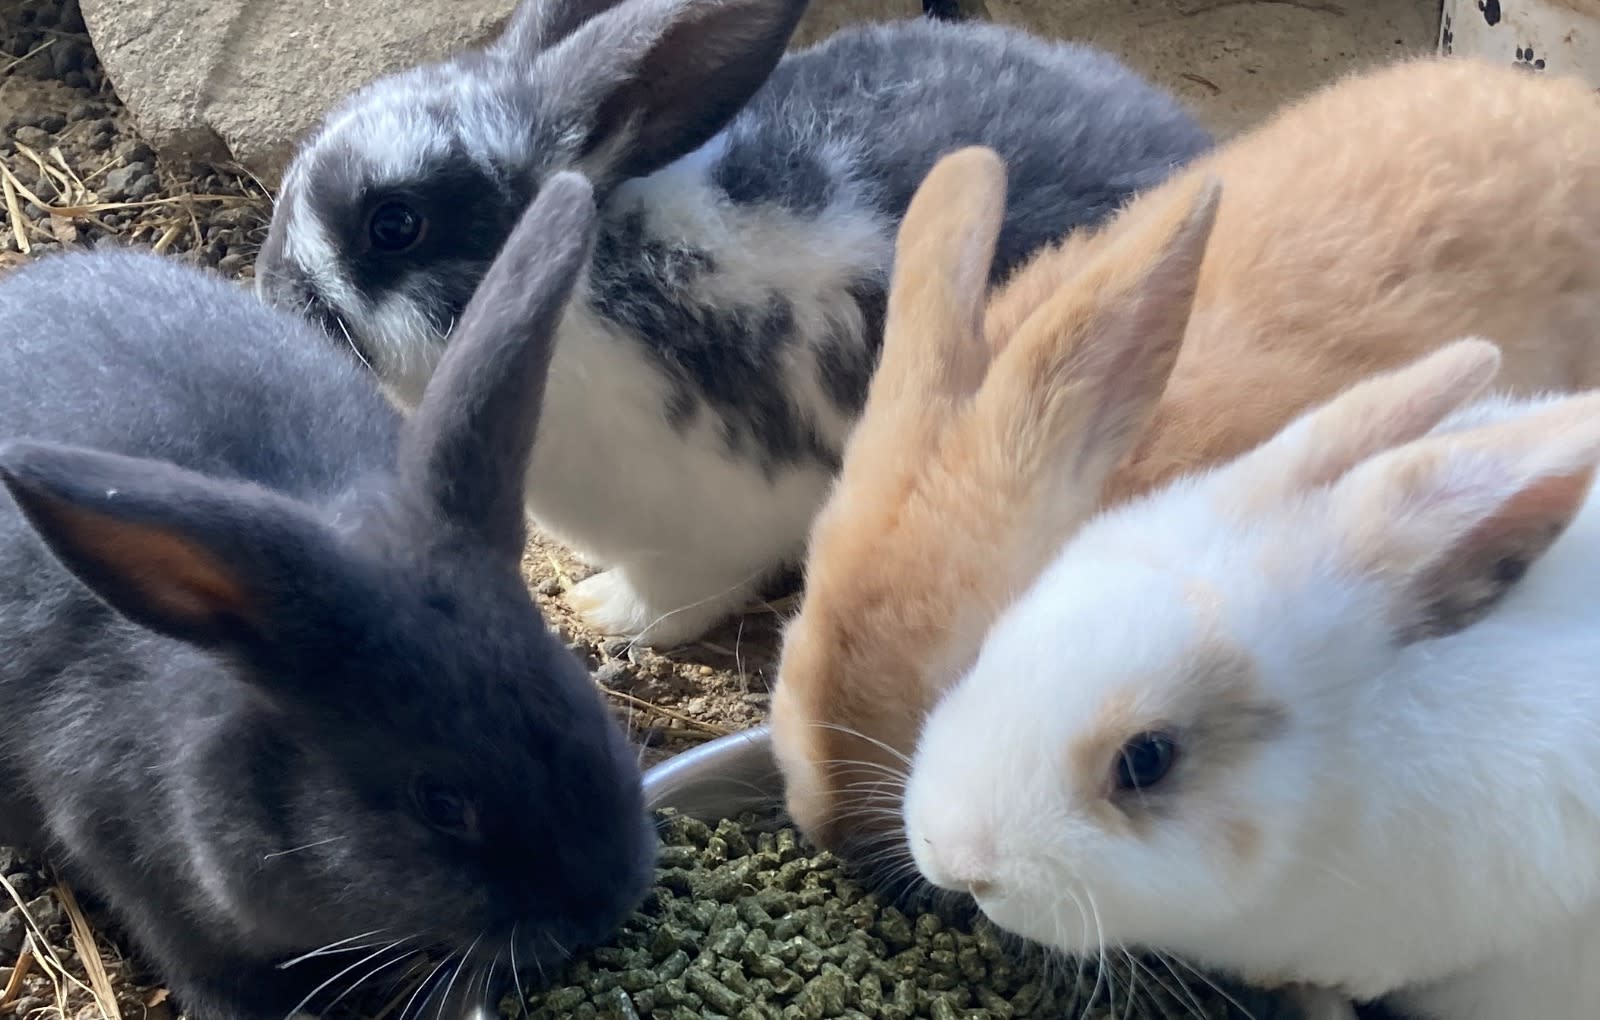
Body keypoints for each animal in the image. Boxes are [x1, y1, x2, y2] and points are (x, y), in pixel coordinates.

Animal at [251, 0, 1213, 647]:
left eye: (396, 223)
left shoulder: (705, 527)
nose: (268, 287)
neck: (594, 276)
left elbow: (678, 596)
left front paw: (603, 615)